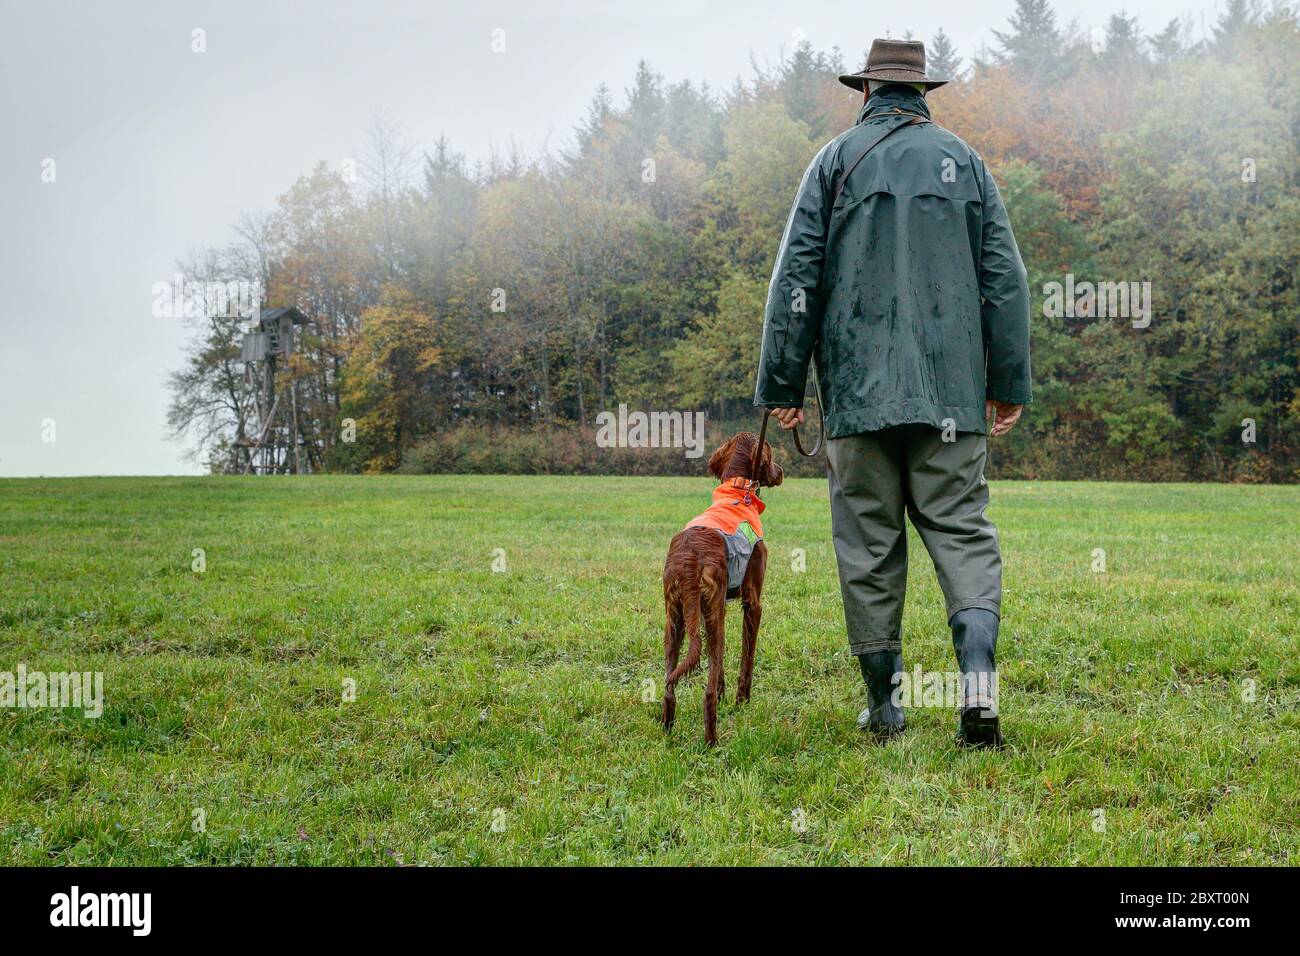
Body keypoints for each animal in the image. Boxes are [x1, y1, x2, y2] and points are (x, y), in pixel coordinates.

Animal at [660, 431, 780, 749]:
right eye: (772, 453)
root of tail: (689, 558)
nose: (781, 472)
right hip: (709, 616)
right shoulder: (752, 601)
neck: (738, 491)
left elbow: (721, 665)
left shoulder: (719, 605)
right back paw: (712, 741)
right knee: (707, 693)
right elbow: (746, 657)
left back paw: (666, 728)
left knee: (669, 685)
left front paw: (729, 694)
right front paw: (741, 701)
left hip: (675, 618)